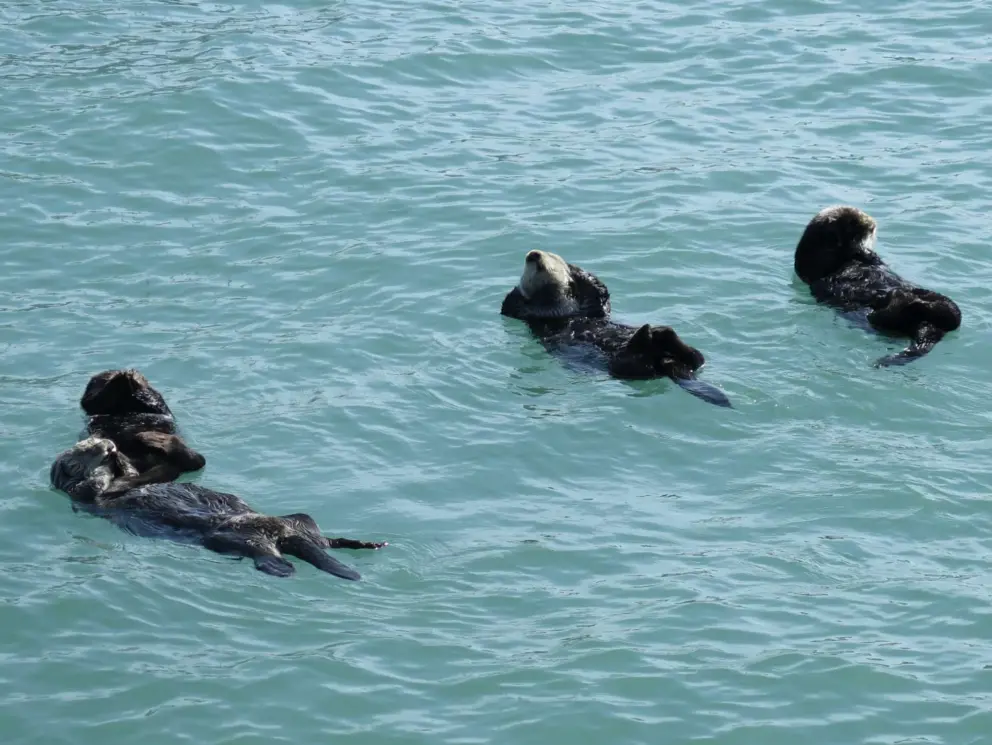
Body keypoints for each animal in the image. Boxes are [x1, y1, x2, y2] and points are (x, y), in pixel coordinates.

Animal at [50, 436, 387, 580]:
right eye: (87, 447)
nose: (108, 445)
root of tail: (282, 535)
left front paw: (120, 457)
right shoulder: (83, 496)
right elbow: (92, 485)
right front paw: (102, 464)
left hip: (299, 522)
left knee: (322, 539)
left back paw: (362, 543)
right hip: (232, 539)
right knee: (265, 554)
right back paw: (282, 569)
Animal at [501, 250, 731, 407]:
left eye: (552, 257)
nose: (534, 255)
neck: (562, 310)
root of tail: (667, 364)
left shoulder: (593, 307)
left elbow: (598, 293)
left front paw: (576, 272)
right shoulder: (525, 313)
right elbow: (513, 304)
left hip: (681, 358)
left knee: (696, 357)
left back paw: (661, 332)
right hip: (625, 367)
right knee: (638, 364)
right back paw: (649, 333)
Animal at [794, 205, 961, 367]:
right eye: (853, 222)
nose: (872, 224)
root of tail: (929, 326)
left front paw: (864, 252)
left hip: (945, 304)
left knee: (951, 316)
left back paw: (911, 295)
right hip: (874, 319)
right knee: (886, 317)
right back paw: (901, 297)